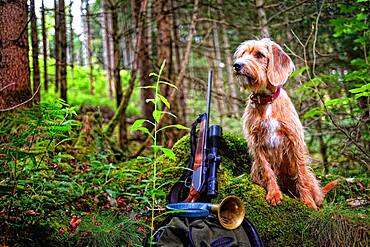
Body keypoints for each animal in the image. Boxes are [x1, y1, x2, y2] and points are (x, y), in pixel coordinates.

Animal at [234, 38, 336, 208]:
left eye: (259, 55)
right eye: (242, 54)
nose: (236, 65)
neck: (266, 101)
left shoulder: (294, 140)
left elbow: (301, 174)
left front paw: (308, 202)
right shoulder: (256, 143)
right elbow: (267, 171)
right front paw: (274, 193)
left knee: (310, 183)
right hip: (255, 170)